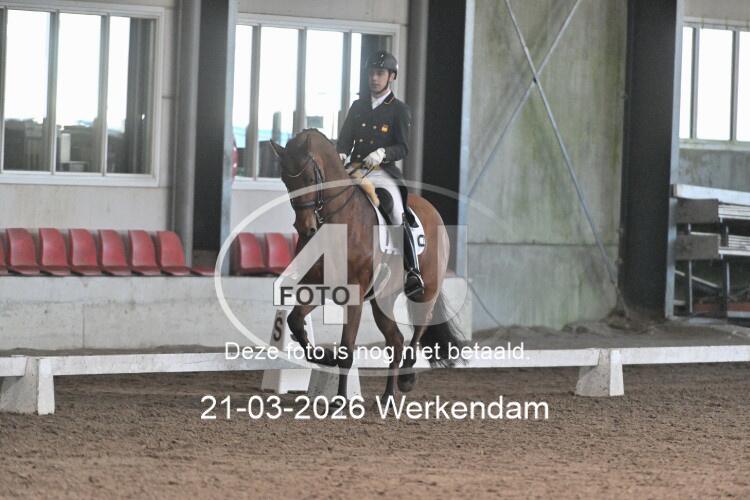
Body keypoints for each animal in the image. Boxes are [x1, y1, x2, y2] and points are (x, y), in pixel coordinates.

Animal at [270, 129, 463, 402]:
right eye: (286, 181)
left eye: (309, 178)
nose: (305, 228)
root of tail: (431, 209)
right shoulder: (318, 287)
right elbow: (295, 322)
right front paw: (324, 357)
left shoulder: (355, 295)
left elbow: (347, 350)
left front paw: (340, 400)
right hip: (383, 299)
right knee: (396, 340)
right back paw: (388, 396)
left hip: (427, 291)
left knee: (418, 330)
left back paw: (406, 379)